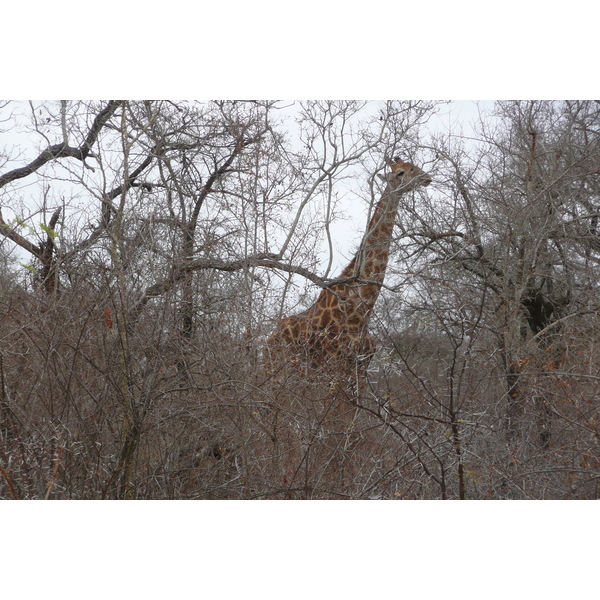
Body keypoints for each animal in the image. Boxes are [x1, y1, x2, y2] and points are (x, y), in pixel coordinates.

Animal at [266, 158, 432, 380]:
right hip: (281, 370)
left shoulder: (361, 367)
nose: (426, 178)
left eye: (415, 166)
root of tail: (269, 339)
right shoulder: (335, 364)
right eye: (401, 172)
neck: (360, 313)